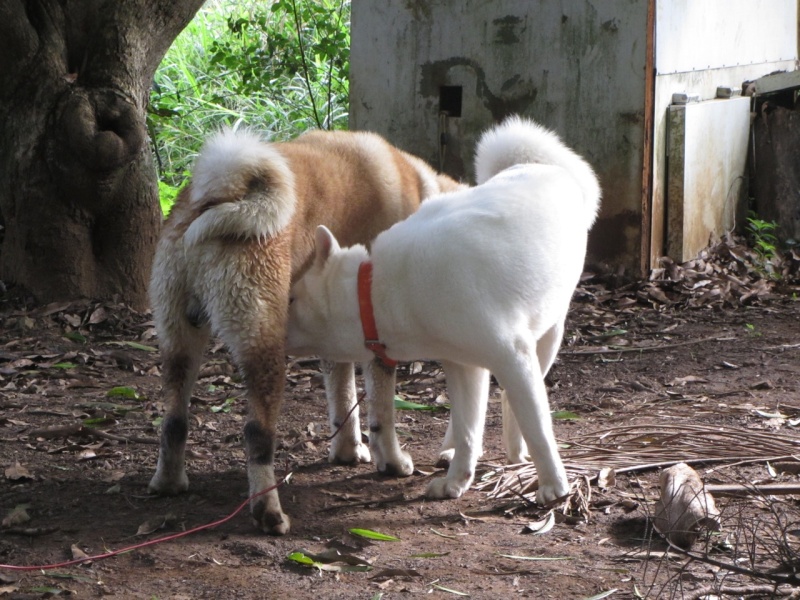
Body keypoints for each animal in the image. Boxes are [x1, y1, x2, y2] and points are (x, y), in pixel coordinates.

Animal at [148, 127, 462, 536]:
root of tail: (222, 193)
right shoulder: (378, 340)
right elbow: (382, 414)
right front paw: (391, 462)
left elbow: (342, 399)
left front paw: (347, 452)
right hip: (264, 350)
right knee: (256, 436)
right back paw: (269, 512)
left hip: (179, 343)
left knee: (174, 421)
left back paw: (169, 482)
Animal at [288, 117, 600, 502]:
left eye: (290, 299)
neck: (377, 288)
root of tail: (545, 166)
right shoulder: (461, 365)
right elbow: (468, 427)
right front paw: (457, 481)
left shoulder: (512, 356)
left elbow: (537, 425)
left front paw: (554, 487)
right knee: (476, 416)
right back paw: (455, 453)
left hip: (548, 336)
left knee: (513, 404)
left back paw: (518, 452)